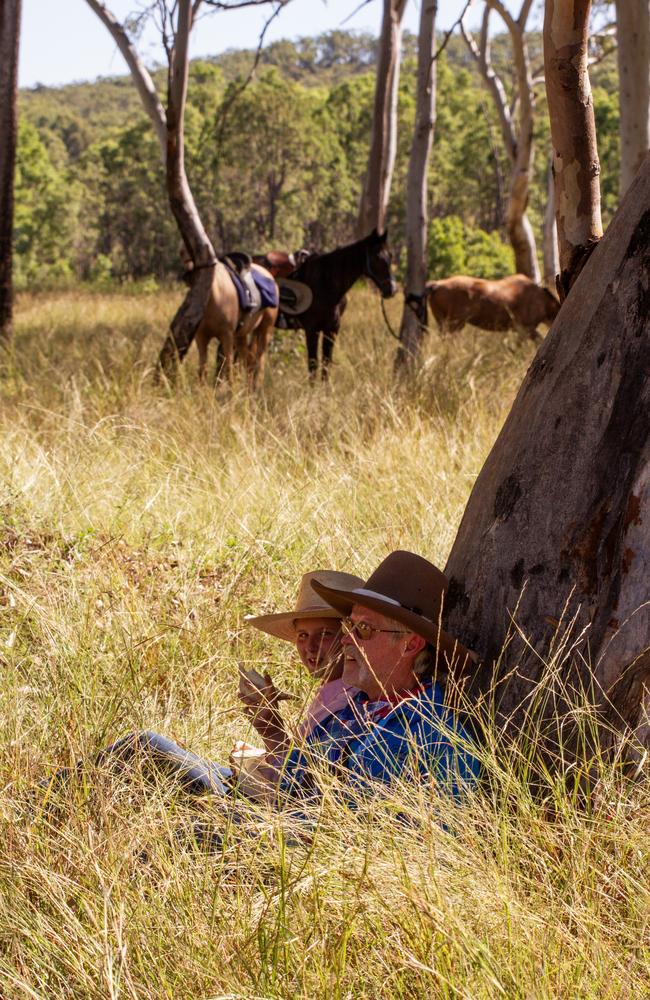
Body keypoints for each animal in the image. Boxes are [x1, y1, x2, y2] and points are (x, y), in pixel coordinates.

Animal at [284, 229, 394, 378]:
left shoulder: (332, 329)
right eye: (377, 257)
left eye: (390, 256)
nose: (391, 289)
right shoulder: (312, 330)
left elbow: (326, 365)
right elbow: (313, 366)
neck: (325, 283)